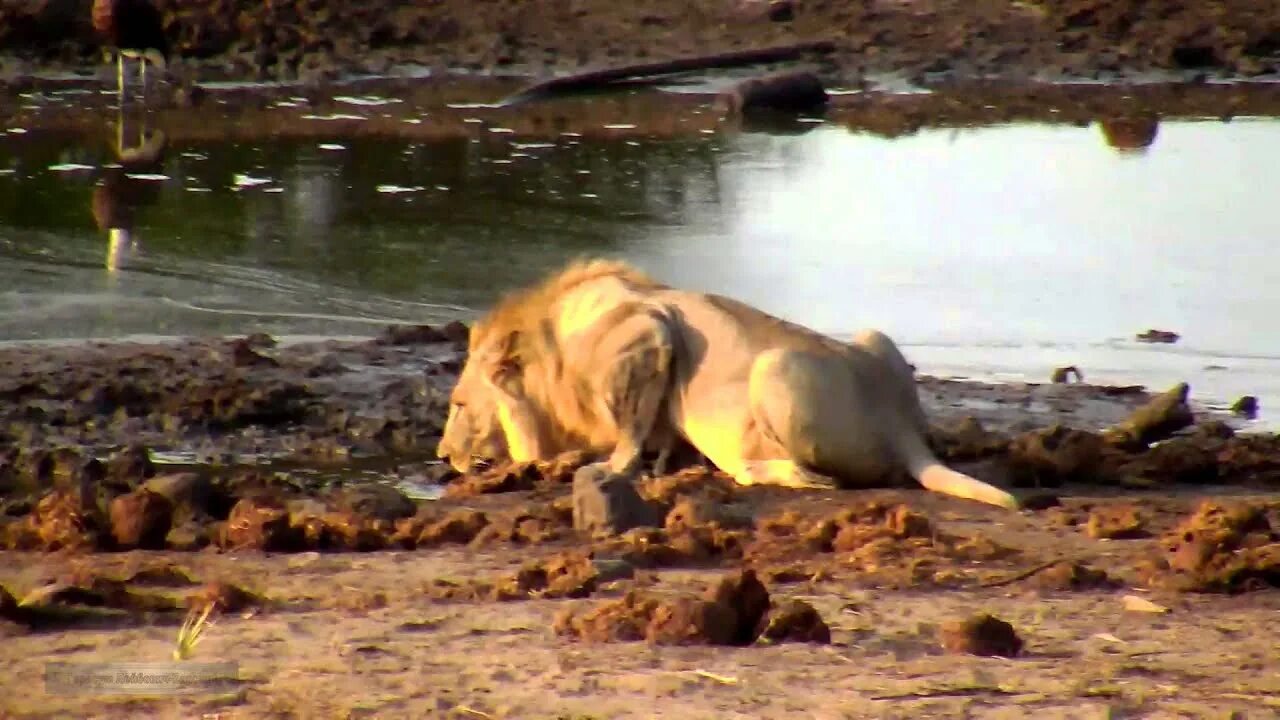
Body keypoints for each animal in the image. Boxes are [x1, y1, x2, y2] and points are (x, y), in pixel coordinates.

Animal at [440, 254, 1018, 507]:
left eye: (459, 404)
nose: (443, 455)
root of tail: (900, 425)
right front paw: (663, 465)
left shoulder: (650, 334)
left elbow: (627, 432)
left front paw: (602, 467)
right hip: (874, 336)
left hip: (774, 368)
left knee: (812, 474)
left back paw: (759, 471)